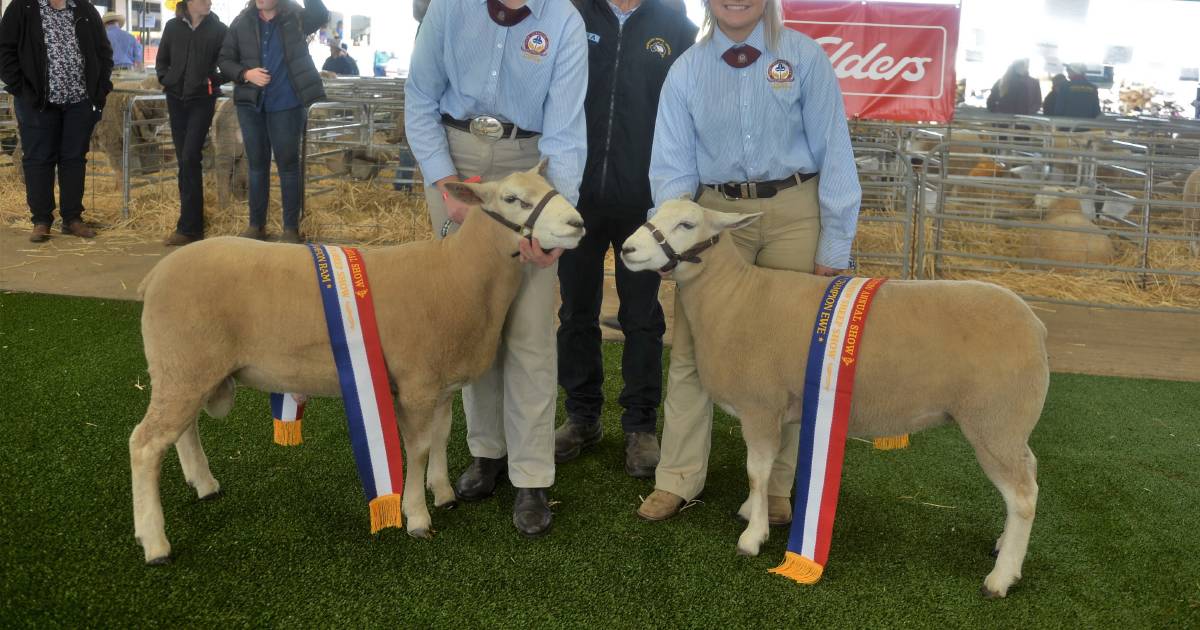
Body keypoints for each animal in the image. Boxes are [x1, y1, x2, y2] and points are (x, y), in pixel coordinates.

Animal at [129, 163, 583, 564]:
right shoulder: (416, 383)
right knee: (145, 444)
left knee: (183, 429)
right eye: (513, 199)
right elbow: (417, 449)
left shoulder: (440, 385)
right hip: (182, 365)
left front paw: (444, 494)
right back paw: (155, 543)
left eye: (550, 187)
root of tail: (154, 276)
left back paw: (204, 485)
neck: (458, 272)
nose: (577, 223)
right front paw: (417, 516)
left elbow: (440, 437)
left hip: (190, 369)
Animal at [624, 199, 1046, 597]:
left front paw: (752, 537)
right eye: (654, 213)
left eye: (687, 224)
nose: (628, 249)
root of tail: (1035, 323)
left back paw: (1001, 578)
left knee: (1023, 497)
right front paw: (752, 513)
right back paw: (1003, 546)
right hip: (1010, 428)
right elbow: (768, 469)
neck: (735, 297)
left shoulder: (761, 405)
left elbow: (757, 472)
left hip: (995, 422)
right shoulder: (778, 409)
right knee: (1028, 477)